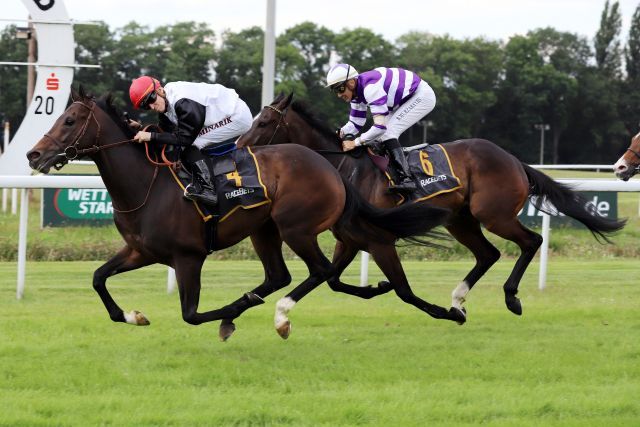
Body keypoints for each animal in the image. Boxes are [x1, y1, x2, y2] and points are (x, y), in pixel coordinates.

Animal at [26, 89, 460, 342]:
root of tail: (328, 165)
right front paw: (132, 315)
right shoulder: (141, 251)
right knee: (283, 275)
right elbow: (98, 278)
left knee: (319, 272)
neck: (147, 185)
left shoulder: (188, 257)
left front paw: (228, 317)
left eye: (69, 120)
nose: (33, 154)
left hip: (295, 227)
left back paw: (281, 315)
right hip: (264, 229)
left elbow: (191, 315)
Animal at [236, 95, 624, 320]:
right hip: (460, 220)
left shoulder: (377, 238)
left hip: (493, 213)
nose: (239, 148)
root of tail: (514, 160)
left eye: (264, 122)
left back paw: (511, 298)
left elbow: (394, 288)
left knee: (530, 241)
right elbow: (332, 279)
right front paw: (377, 287)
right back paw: (458, 298)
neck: (343, 168)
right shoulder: (349, 238)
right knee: (488, 254)